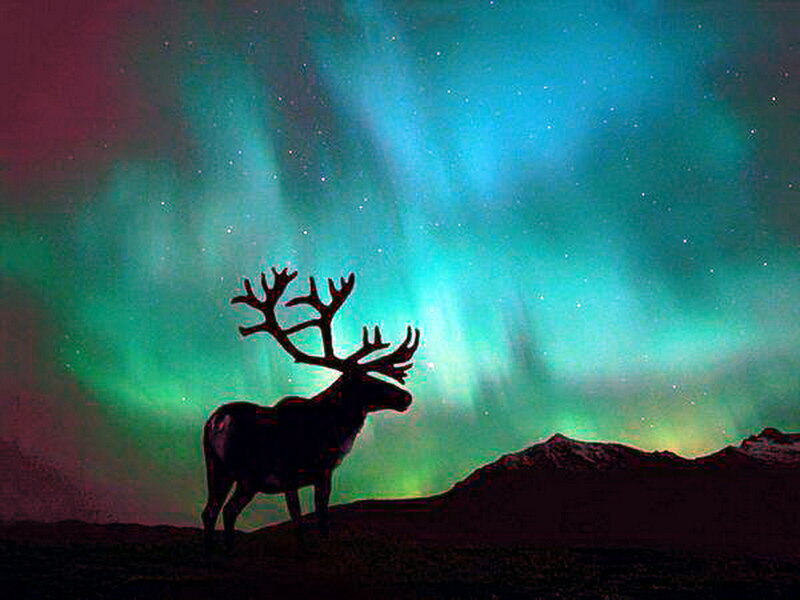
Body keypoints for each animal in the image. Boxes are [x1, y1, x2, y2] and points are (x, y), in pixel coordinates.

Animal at [202, 266, 420, 550]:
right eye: (365, 380)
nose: (406, 397)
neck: (335, 427)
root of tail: (217, 420)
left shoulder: (297, 477)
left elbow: (301, 519)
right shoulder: (313, 470)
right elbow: (315, 518)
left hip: (226, 472)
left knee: (218, 510)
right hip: (238, 473)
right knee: (219, 511)